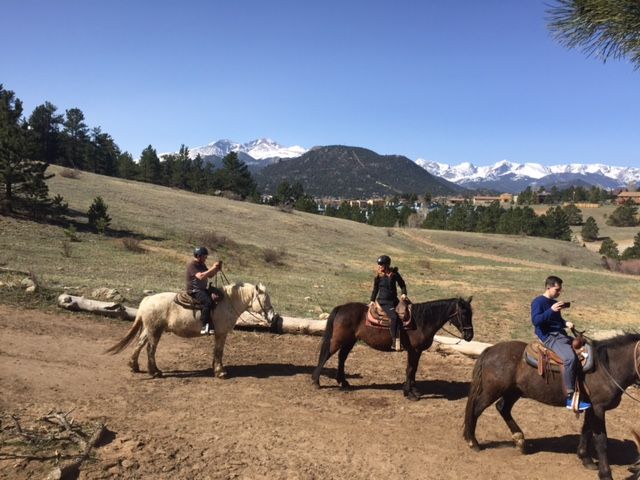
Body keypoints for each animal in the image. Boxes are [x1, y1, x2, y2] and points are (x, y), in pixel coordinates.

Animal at [105, 282, 276, 378]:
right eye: (265, 299)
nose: (272, 316)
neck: (227, 302)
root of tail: (147, 300)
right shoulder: (221, 333)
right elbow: (219, 351)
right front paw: (220, 372)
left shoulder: (219, 334)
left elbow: (216, 351)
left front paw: (215, 368)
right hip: (155, 330)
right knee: (150, 349)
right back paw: (154, 372)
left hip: (149, 329)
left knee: (140, 344)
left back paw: (134, 366)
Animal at [312, 298, 472, 400]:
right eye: (464, 313)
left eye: (471, 313)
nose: (470, 335)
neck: (421, 322)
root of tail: (341, 308)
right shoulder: (413, 350)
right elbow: (410, 369)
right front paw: (409, 394)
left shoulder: (418, 351)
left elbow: (414, 369)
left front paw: (413, 390)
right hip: (339, 340)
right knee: (326, 354)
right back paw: (316, 381)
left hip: (350, 341)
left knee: (342, 357)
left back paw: (343, 383)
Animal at [462, 332, 640, 480]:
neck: (607, 367)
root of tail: (490, 350)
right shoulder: (598, 408)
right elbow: (601, 441)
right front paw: (605, 473)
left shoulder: (590, 408)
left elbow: (586, 432)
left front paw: (586, 459)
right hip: (492, 391)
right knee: (476, 410)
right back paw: (473, 442)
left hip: (514, 391)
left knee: (502, 408)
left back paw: (520, 440)